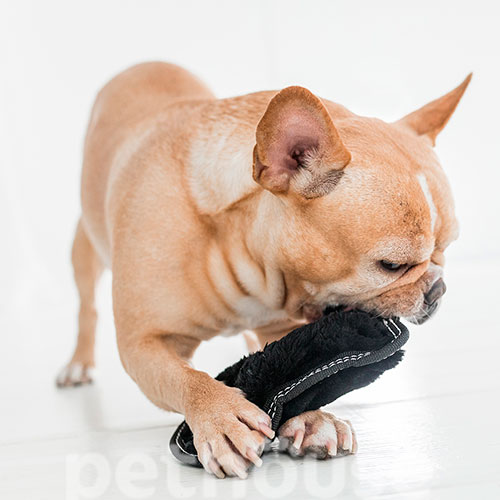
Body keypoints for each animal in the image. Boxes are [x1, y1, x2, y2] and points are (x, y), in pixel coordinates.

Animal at [56, 64, 470, 478]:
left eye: (446, 250)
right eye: (391, 265)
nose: (438, 289)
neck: (237, 249)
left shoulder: (281, 326)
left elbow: (295, 367)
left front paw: (312, 418)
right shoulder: (144, 343)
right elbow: (186, 378)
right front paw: (221, 417)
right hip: (84, 249)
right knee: (86, 307)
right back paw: (77, 365)